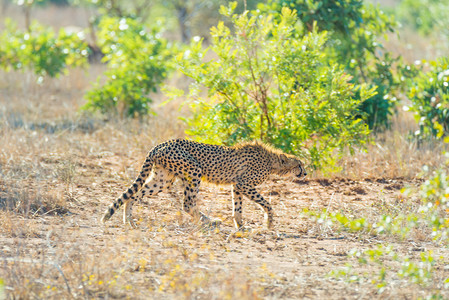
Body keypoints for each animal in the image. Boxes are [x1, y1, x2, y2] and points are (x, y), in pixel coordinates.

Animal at [100, 139, 306, 229]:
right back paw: (210, 221)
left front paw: (240, 225)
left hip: (163, 180)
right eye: (300, 164)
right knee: (188, 204)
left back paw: (129, 220)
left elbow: (237, 207)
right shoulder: (244, 184)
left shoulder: (237, 186)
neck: (272, 161)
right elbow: (266, 203)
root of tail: (161, 144)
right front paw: (269, 222)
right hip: (194, 171)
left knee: (134, 195)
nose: (305, 173)